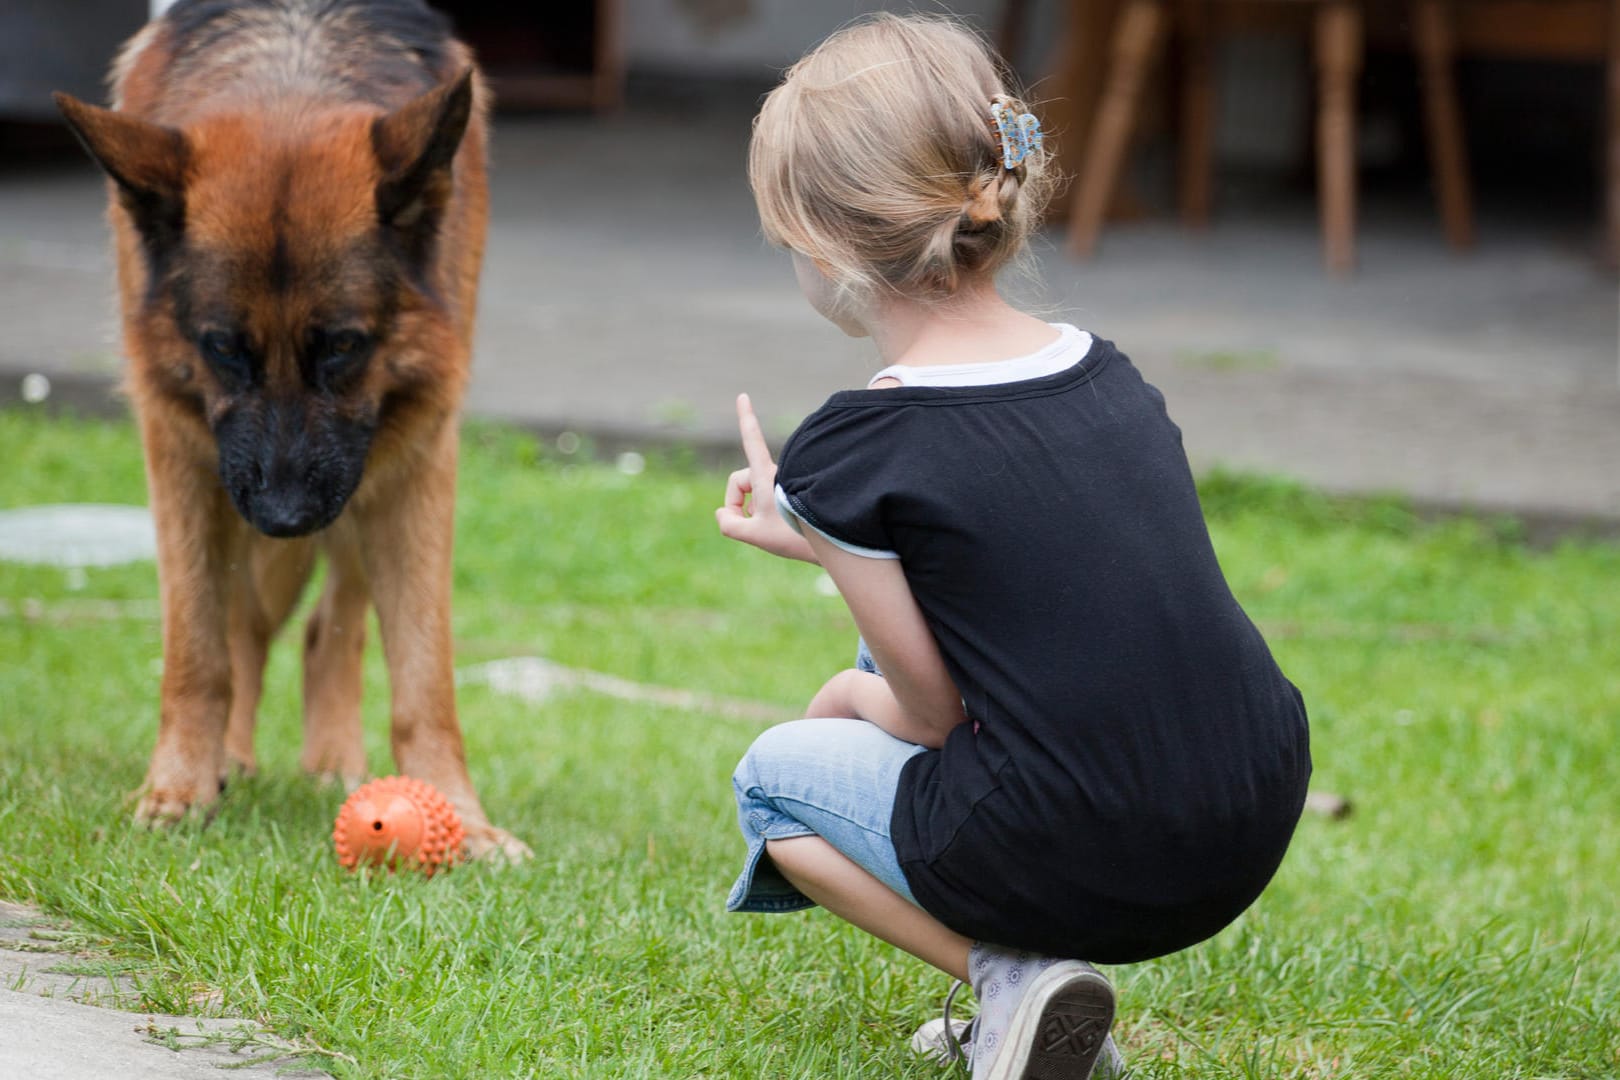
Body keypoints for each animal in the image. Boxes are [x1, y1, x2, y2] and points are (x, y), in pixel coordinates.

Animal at [53, 0, 524, 861]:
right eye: (223, 348)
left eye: (341, 345)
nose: (283, 519)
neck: (291, 76)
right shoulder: (179, 451)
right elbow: (198, 651)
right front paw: (179, 786)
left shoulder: (415, 459)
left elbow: (424, 675)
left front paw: (462, 818)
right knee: (242, 624)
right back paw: (230, 759)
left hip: (366, 477)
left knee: (327, 628)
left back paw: (333, 762)